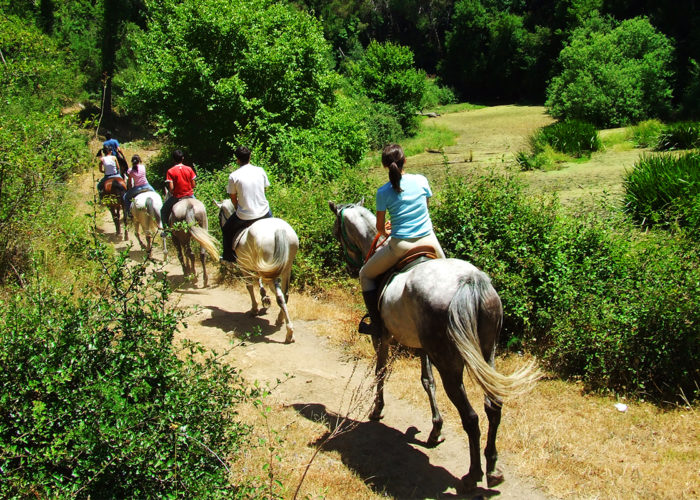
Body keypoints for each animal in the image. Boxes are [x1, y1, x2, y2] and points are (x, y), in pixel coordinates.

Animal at [216, 199, 298, 344]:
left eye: (220, 215)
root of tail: (279, 230)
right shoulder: (261, 267)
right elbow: (260, 282)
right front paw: (264, 296)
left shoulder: (244, 266)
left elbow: (249, 286)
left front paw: (254, 309)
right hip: (285, 268)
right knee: (285, 294)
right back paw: (280, 319)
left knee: (280, 296)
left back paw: (289, 333)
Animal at [330, 201, 540, 490]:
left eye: (337, 232)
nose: (350, 266)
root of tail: (469, 282)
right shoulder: (423, 347)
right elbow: (427, 380)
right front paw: (435, 429)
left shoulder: (383, 338)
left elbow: (381, 372)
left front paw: (377, 409)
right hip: (486, 353)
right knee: (493, 406)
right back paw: (492, 468)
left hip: (449, 362)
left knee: (471, 417)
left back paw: (473, 474)